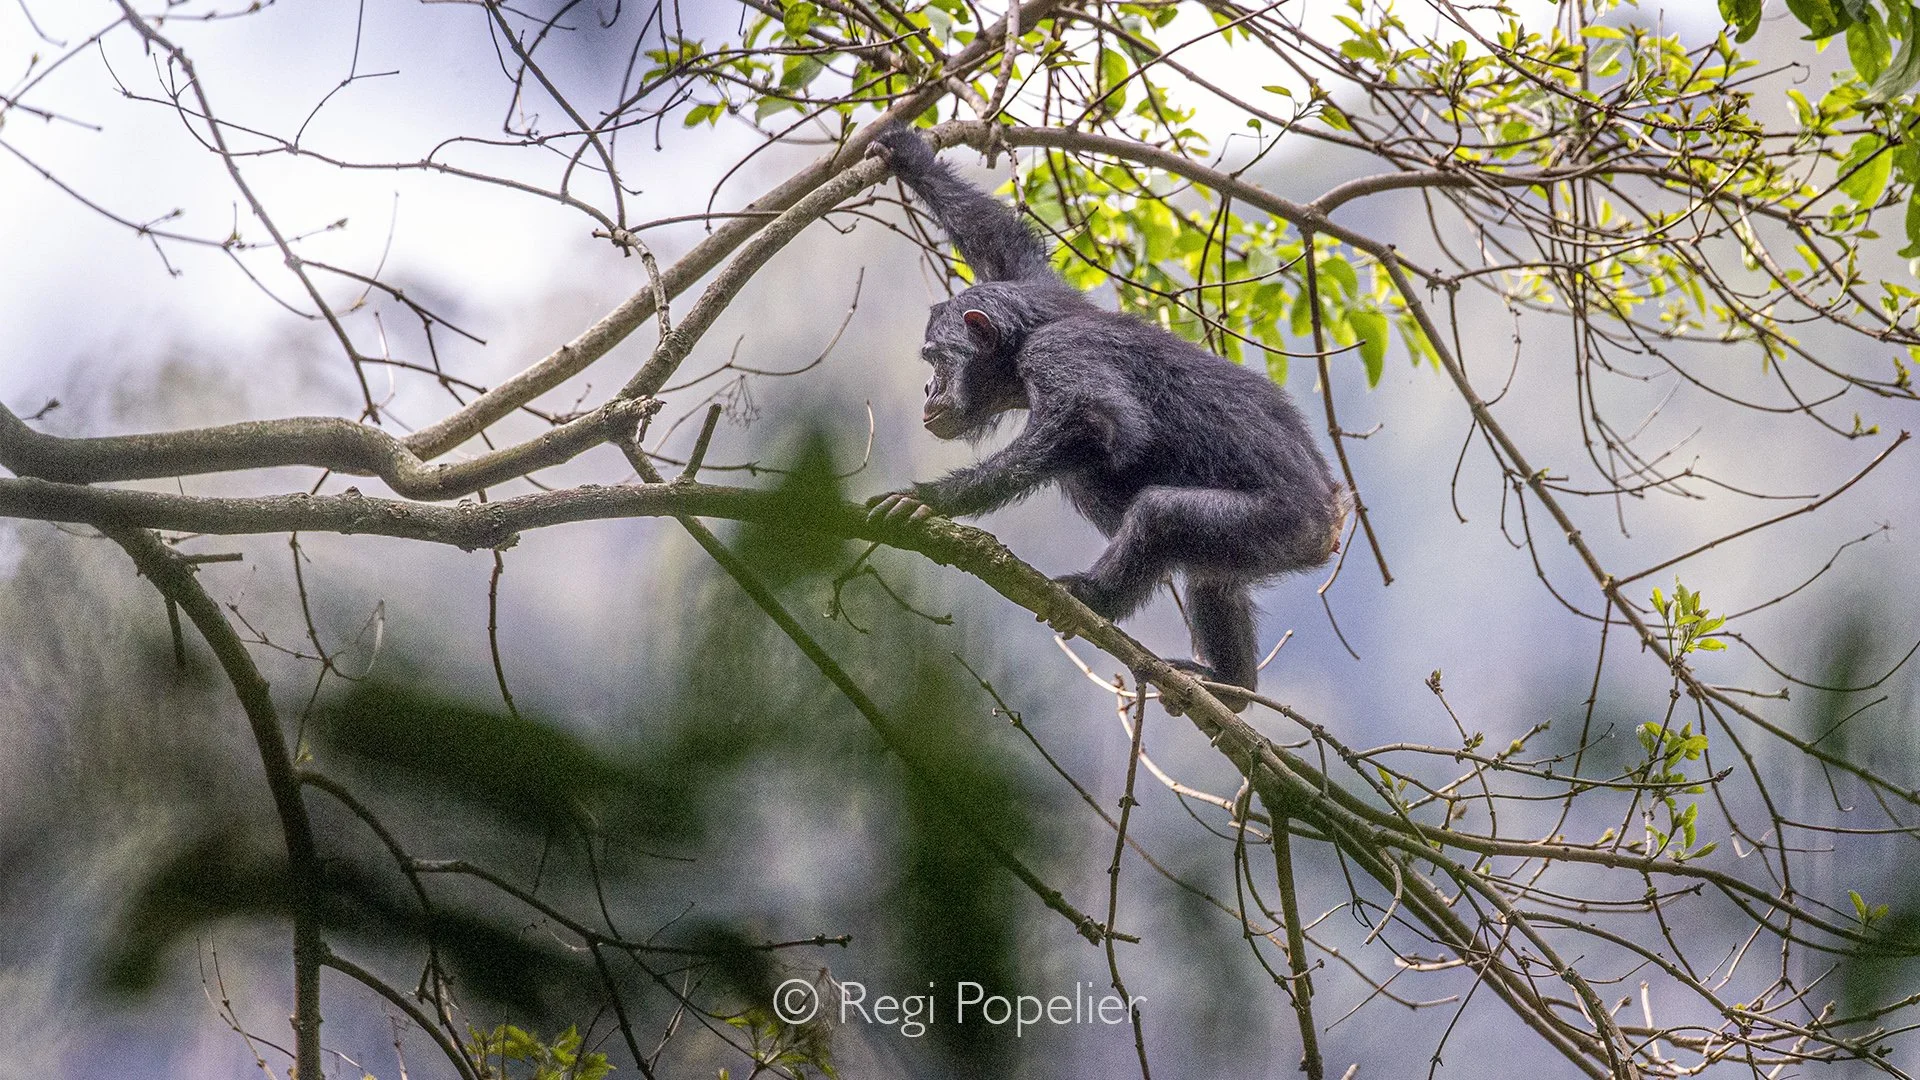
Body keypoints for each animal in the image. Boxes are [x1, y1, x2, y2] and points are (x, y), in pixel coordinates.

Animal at [864, 126, 1349, 707]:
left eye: (936, 358)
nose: (928, 388)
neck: (1026, 340)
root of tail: (1334, 516)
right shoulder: (1040, 290)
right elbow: (1002, 242)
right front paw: (905, 152)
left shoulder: (1060, 351)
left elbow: (1094, 421)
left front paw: (932, 501)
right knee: (1212, 577)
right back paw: (1229, 688)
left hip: (1283, 525)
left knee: (1162, 515)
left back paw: (1092, 597)